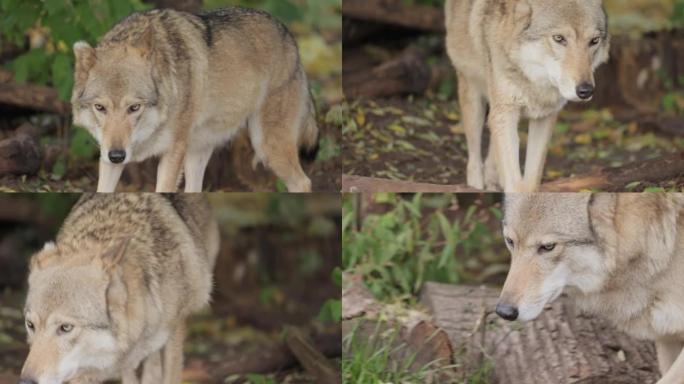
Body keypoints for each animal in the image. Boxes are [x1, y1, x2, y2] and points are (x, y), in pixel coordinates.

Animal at [73, 8, 320, 195]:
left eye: (134, 107)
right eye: (100, 107)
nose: (117, 156)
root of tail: (290, 37)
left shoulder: (173, 152)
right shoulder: (107, 157)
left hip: (267, 147)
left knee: (304, 182)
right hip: (198, 152)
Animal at [446, 0, 612, 192]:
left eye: (594, 41)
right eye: (559, 38)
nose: (586, 90)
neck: (535, 85)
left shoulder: (544, 117)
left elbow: (531, 181)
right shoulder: (506, 111)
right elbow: (514, 182)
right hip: (473, 97)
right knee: (474, 155)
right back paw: (476, 186)